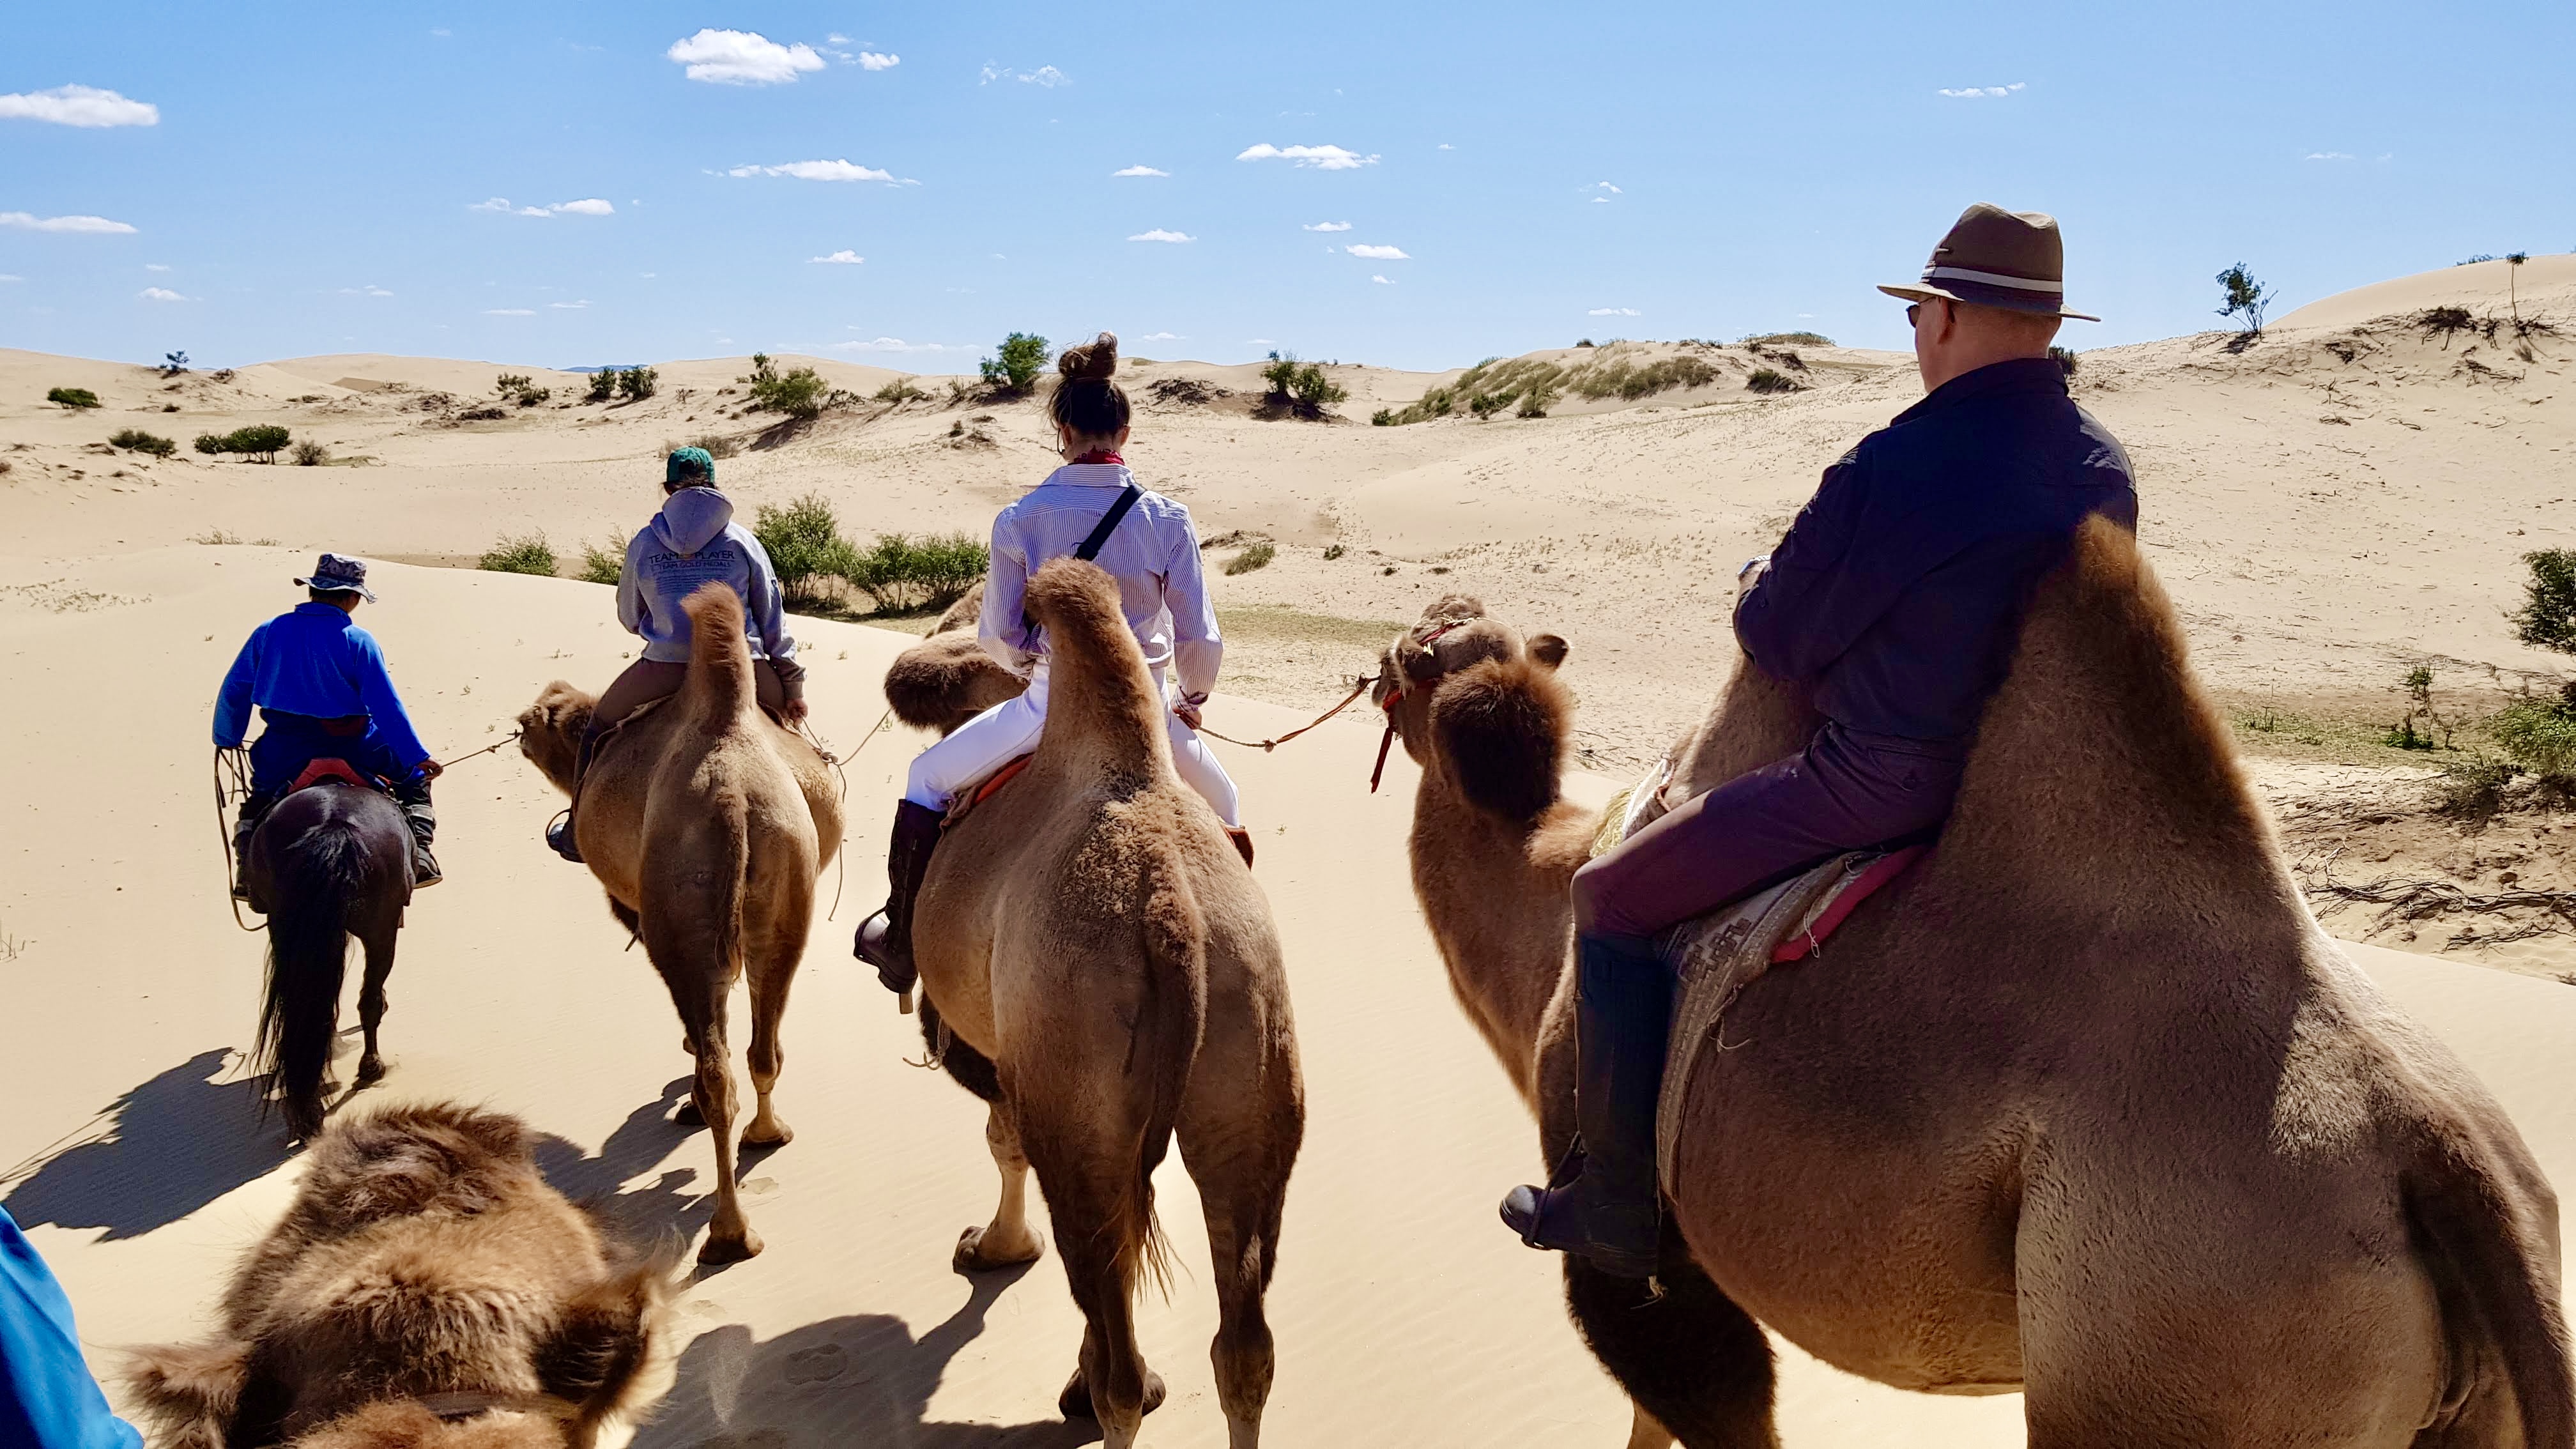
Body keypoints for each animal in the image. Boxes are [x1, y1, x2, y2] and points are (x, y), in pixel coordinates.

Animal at [242, 778, 412, 1139]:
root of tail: (332, 824)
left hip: (288, 927)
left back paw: (306, 1108)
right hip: (381, 925)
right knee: (369, 999)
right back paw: (371, 1067)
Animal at [518, 580, 839, 1258]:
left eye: (538, 721)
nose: (520, 729)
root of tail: (734, 798)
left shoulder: (637, 909)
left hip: (681, 911)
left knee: (719, 1069)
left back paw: (728, 1230)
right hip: (788, 896)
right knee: (764, 1044)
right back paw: (768, 1134)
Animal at [901, 554, 1308, 1443]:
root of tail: (1171, 912)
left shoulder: (1003, 1052)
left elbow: (1003, 1141)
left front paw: (995, 1248)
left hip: (1079, 1087)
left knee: (1105, 1279)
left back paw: (1109, 1390)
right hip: (1251, 1063)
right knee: (1246, 1349)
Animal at [1381, 518, 2565, 1443]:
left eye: (1408, 653)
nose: (1385, 661)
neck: (1547, 894)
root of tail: (2440, 1158)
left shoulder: (1636, 1242)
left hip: (2176, 1348)